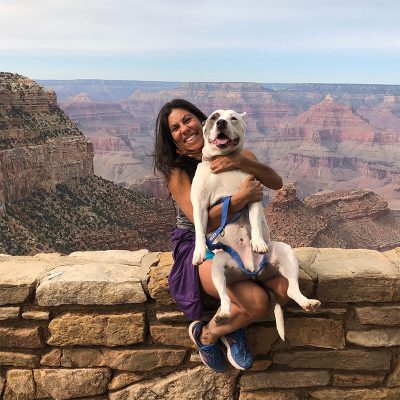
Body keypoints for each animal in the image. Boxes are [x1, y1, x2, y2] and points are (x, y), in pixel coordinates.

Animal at [191, 110, 322, 340]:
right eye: (214, 117)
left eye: (233, 118)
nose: (221, 122)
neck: (224, 163)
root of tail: (251, 273)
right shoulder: (199, 203)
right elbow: (199, 228)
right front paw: (198, 251)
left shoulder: (253, 195)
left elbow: (254, 221)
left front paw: (258, 242)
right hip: (219, 266)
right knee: (225, 297)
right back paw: (223, 314)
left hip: (284, 252)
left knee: (291, 289)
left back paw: (308, 303)